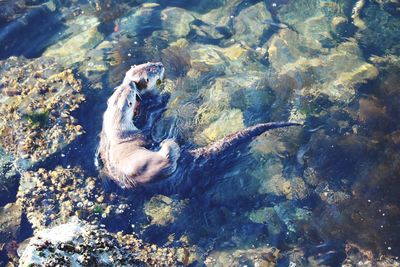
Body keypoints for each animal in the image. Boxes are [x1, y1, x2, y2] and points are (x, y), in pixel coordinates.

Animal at [98, 62, 302, 192]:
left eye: (150, 63)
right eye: (153, 70)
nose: (160, 64)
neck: (117, 128)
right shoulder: (140, 134)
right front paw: (164, 97)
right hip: (153, 164)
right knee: (169, 155)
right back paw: (170, 143)